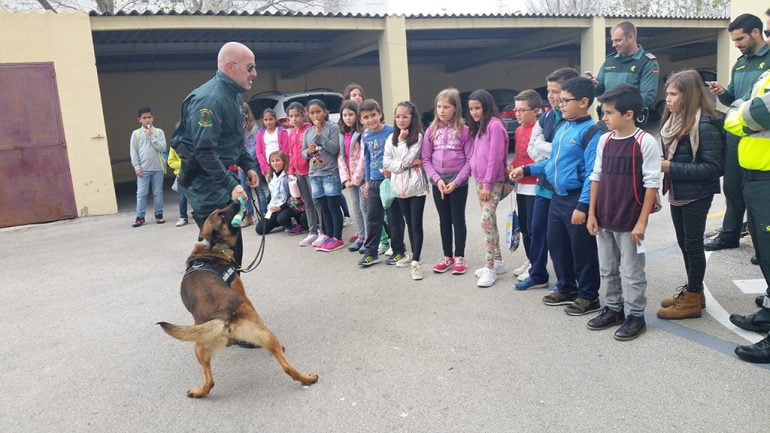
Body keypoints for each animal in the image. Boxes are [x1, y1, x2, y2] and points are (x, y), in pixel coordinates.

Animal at [159, 201, 318, 396]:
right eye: (220, 214)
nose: (235, 201)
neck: (212, 248)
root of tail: (223, 315)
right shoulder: (240, 290)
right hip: (263, 334)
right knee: (285, 364)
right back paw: (306, 377)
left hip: (199, 348)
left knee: (210, 382)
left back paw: (199, 392)